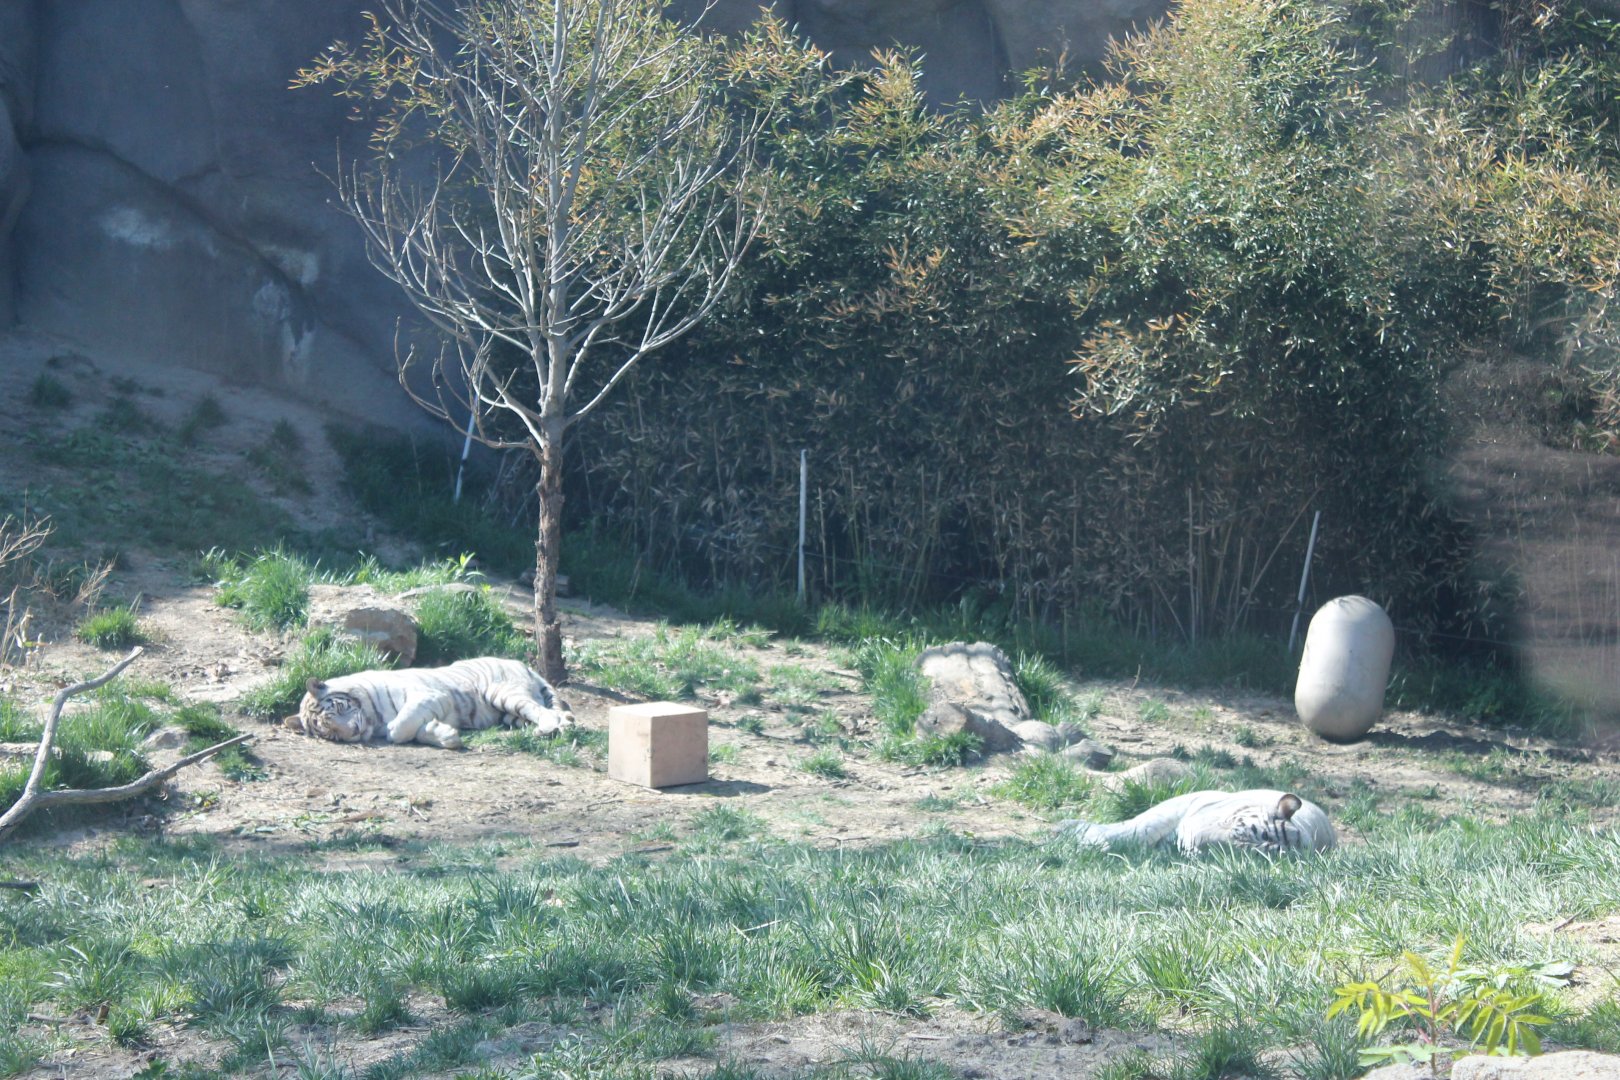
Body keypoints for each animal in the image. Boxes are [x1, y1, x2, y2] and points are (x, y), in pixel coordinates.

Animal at [284, 657, 574, 750]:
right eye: (329, 733)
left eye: (340, 708)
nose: (353, 732)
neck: (373, 721)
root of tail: (525, 665)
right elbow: (416, 729)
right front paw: (444, 734)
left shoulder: (430, 695)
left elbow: (398, 729)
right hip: (507, 714)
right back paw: (549, 728)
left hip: (503, 693)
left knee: (542, 711)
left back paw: (548, 727)